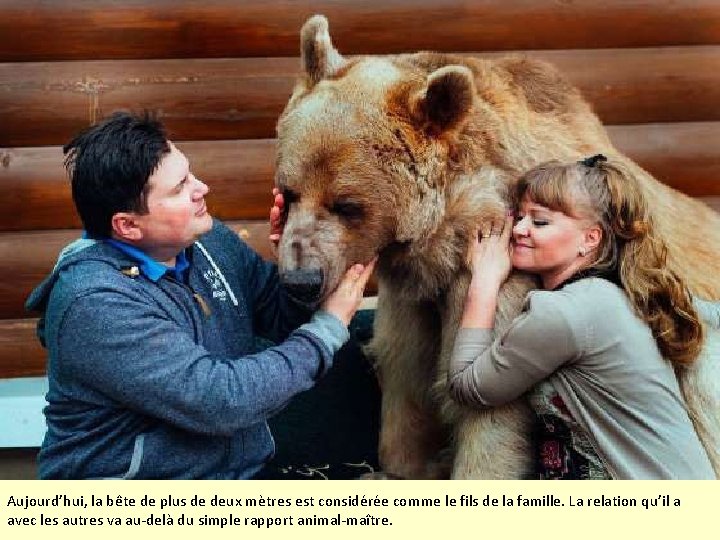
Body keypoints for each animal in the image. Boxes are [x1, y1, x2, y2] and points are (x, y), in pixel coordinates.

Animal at [272, 13, 716, 476]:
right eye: (288, 192)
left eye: (347, 205)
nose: (301, 279)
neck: (443, 238)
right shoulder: (413, 292)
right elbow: (404, 367)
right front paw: (400, 465)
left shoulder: (503, 273)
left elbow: (487, 402)